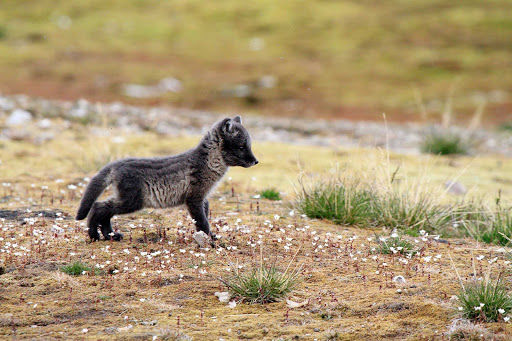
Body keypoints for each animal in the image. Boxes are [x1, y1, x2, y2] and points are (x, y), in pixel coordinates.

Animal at [75, 116, 260, 242]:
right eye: (242, 146)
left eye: (249, 145)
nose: (256, 161)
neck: (208, 163)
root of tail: (116, 164)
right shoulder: (194, 198)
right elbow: (202, 221)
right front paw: (209, 239)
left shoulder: (204, 198)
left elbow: (205, 217)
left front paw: (211, 236)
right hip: (133, 201)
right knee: (98, 207)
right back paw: (94, 234)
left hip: (127, 200)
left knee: (104, 209)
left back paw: (110, 235)